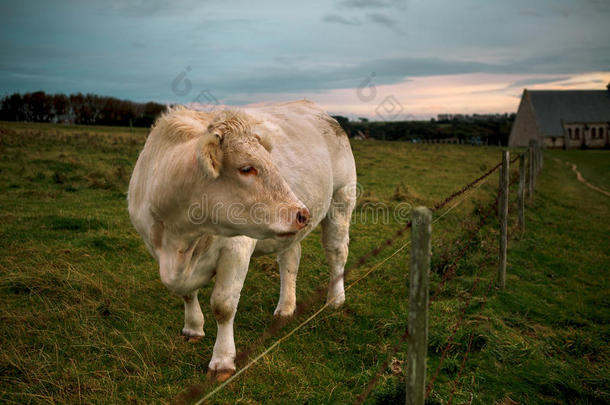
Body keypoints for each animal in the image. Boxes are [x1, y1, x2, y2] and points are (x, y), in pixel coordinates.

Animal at [128, 99, 356, 380]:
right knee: (290, 259)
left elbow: (223, 305)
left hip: (341, 200)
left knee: (337, 252)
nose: (302, 214)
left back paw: (335, 299)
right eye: (247, 168)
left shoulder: (236, 247)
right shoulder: (156, 247)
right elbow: (186, 293)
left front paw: (223, 360)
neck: (180, 238)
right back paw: (285, 307)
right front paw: (193, 328)